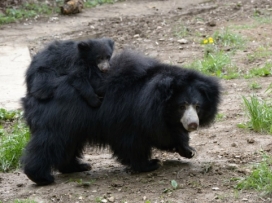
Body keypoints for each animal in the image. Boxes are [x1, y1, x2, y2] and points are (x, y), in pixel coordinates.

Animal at [21, 49, 221, 186]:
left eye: (197, 106)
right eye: (181, 106)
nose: (193, 124)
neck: (154, 102)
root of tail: (36, 90)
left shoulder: (160, 118)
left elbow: (166, 133)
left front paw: (188, 150)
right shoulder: (128, 116)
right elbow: (133, 143)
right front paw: (150, 164)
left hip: (71, 124)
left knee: (67, 145)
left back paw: (77, 167)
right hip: (58, 120)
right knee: (49, 143)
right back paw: (42, 177)